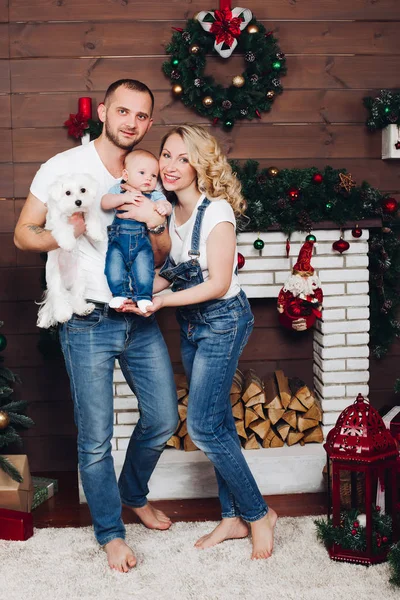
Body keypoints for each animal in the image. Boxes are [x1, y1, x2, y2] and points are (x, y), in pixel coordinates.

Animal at [37, 171, 106, 330]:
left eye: (83, 190)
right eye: (67, 193)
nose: (78, 202)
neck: (72, 212)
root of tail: (67, 285)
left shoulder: (87, 211)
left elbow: (92, 217)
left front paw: (96, 234)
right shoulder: (56, 222)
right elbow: (64, 228)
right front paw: (68, 243)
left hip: (80, 279)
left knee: (76, 298)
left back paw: (83, 309)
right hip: (55, 282)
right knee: (59, 299)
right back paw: (63, 315)